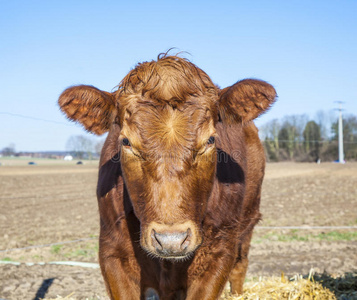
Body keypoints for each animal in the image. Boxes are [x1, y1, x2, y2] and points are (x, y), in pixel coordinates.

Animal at [58, 54, 276, 300]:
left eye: (210, 140)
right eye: (126, 141)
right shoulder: (112, 251)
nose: (171, 240)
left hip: (247, 224)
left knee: (240, 267)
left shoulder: (220, 252)